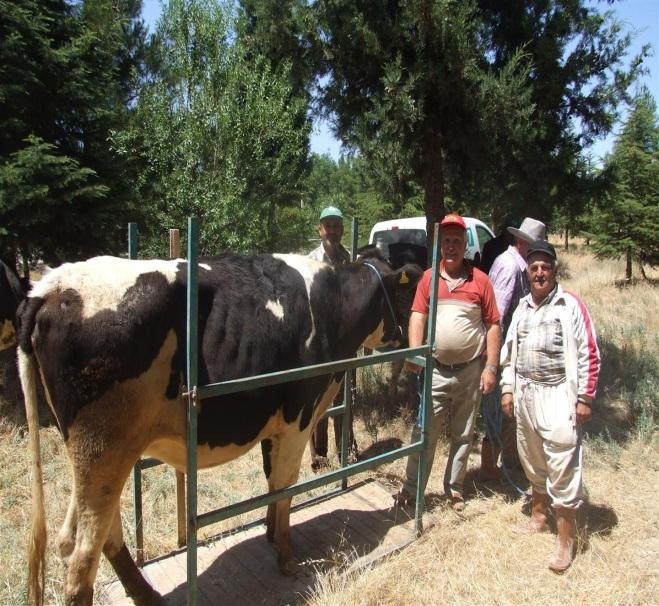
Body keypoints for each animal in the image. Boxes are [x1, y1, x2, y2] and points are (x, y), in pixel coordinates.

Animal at [20, 249, 426, 604]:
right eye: (405, 292)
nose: (408, 339)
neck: (332, 308)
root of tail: (52, 284)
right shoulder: (297, 418)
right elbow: (285, 485)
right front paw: (286, 557)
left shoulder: (272, 421)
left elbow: (271, 481)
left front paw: (269, 533)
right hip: (104, 448)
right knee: (82, 557)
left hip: (96, 453)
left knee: (86, 536)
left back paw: (147, 595)